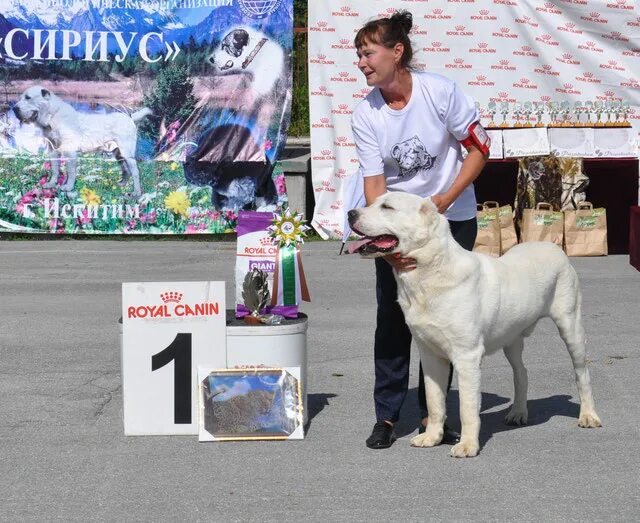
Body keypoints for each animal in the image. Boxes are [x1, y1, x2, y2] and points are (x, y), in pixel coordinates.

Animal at [13, 87, 153, 198]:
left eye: (28, 98)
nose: (14, 109)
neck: (52, 116)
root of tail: (130, 118)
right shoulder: (53, 150)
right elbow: (55, 169)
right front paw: (52, 184)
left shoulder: (70, 151)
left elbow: (70, 171)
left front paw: (67, 187)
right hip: (118, 153)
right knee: (126, 170)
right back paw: (122, 184)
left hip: (127, 153)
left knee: (135, 172)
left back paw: (136, 192)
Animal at [348, 192, 604, 458]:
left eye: (387, 207)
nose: (350, 214)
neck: (430, 271)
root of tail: (553, 246)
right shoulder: (429, 354)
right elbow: (434, 400)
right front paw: (432, 437)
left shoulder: (466, 356)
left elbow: (467, 407)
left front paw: (468, 446)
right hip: (511, 338)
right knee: (521, 372)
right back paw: (518, 413)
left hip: (570, 325)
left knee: (582, 373)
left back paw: (588, 416)